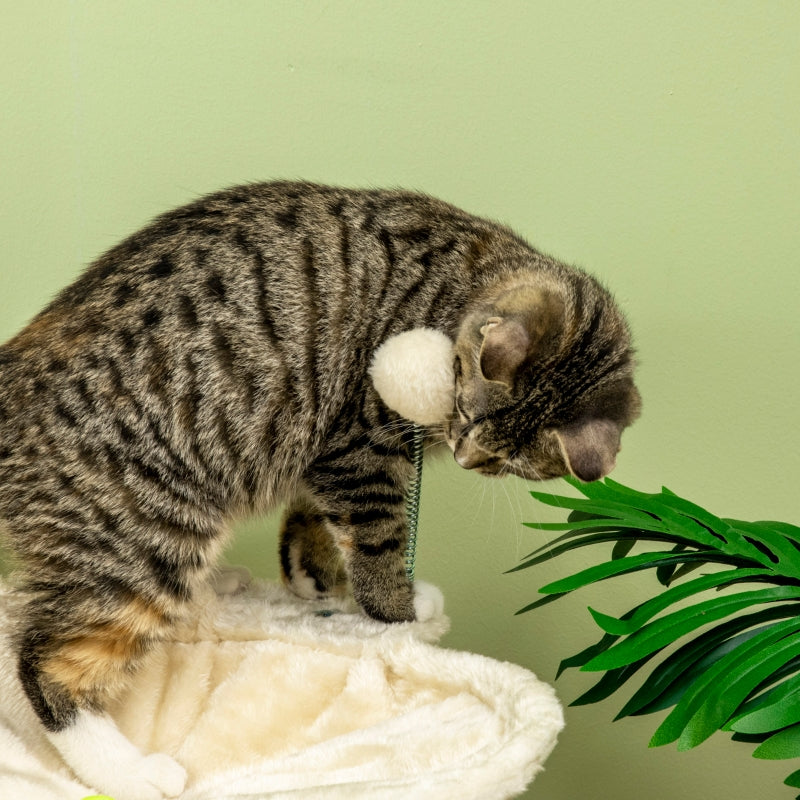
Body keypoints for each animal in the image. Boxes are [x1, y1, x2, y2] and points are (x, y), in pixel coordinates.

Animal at [0, 183, 636, 800]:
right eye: (465, 414)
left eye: (504, 461)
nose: (464, 454)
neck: (462, 279)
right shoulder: (361, 445)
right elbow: (377, 536)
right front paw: (402, 613)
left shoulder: (326, 454)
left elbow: (317, 517)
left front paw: (314, 577)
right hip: (142, 531)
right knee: (46, 660)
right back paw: (130, 773)